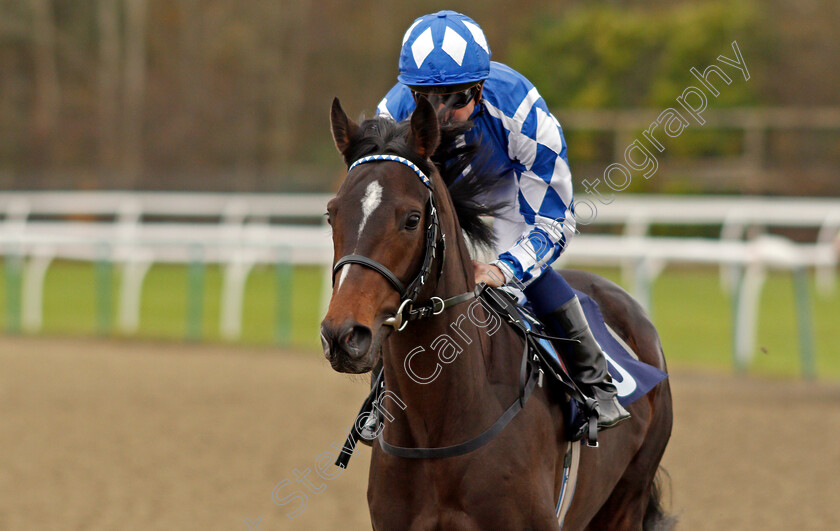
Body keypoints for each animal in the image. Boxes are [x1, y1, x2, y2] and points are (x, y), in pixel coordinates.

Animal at [318, 96, 672, 531]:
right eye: (332, 214)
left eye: (412, 219)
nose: (343, 335)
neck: (439, 428)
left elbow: (551, 219)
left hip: (628, 497)